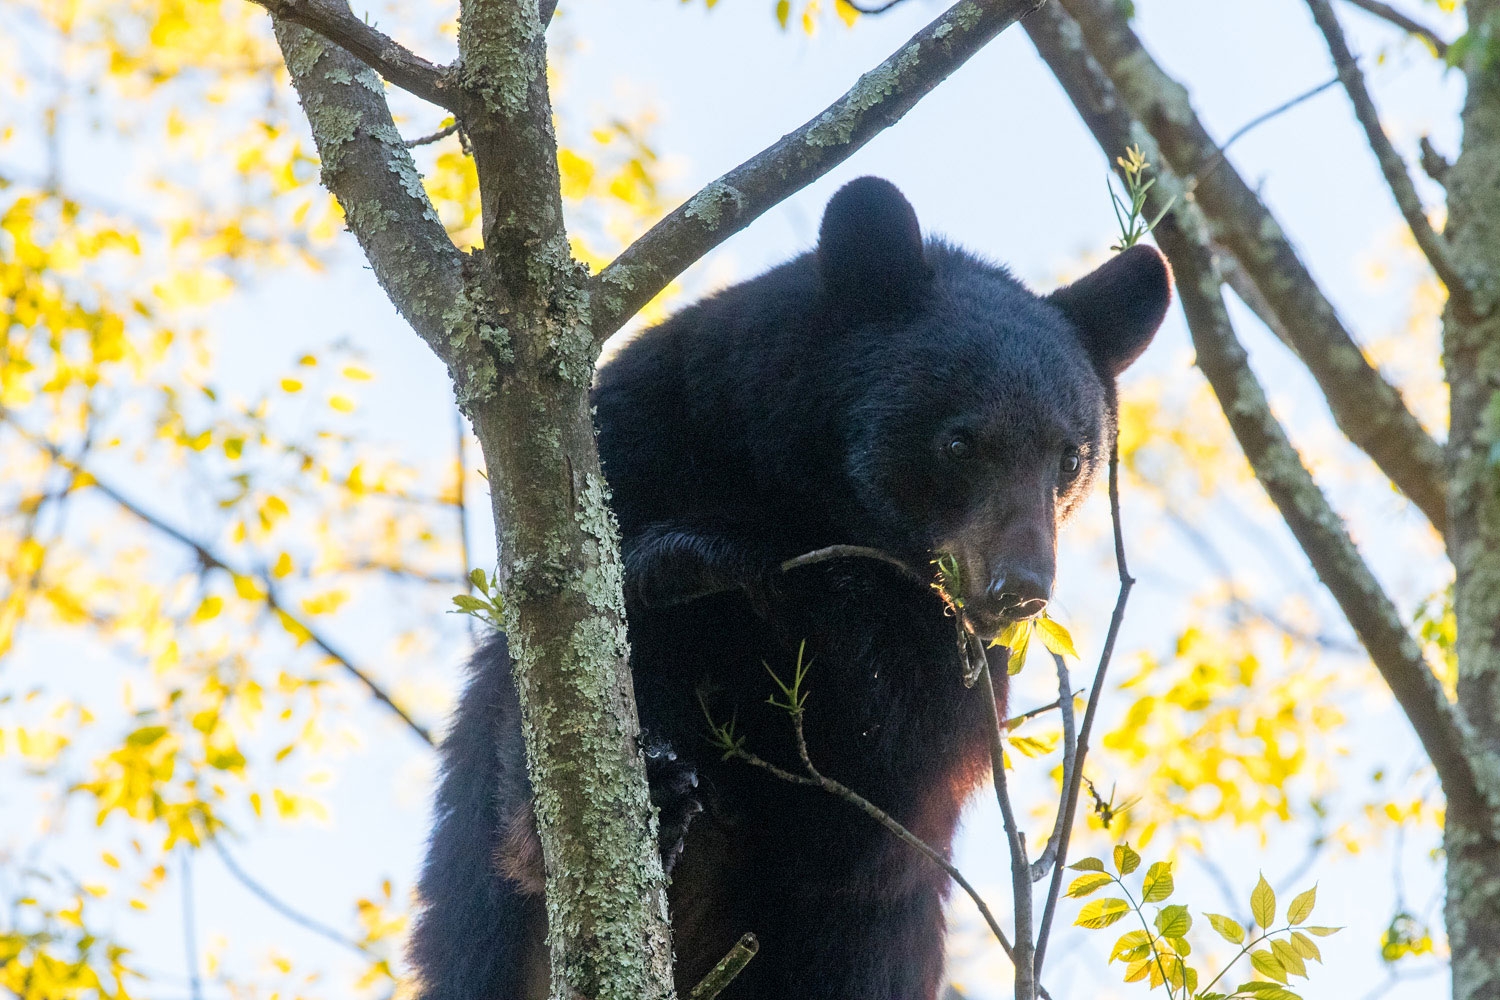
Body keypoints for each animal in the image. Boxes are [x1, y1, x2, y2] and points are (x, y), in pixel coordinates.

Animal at [408, 179, 1170, 1000]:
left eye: (1070, 458)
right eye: (959, 441)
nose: (1021, 588)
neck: (803, 490)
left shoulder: (953, 675)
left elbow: (887, 777)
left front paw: (716, 564)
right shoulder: (636, 443)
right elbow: (551, 676)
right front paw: (683, 568)